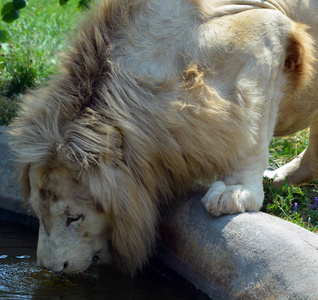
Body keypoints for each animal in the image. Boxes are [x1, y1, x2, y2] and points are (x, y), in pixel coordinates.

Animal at [9, 0, 318, 276]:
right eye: (38, 213)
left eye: (75, 218)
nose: (51, 268)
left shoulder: (267, 30)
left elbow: (254, 126)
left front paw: (235, 193)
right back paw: (281, 177)